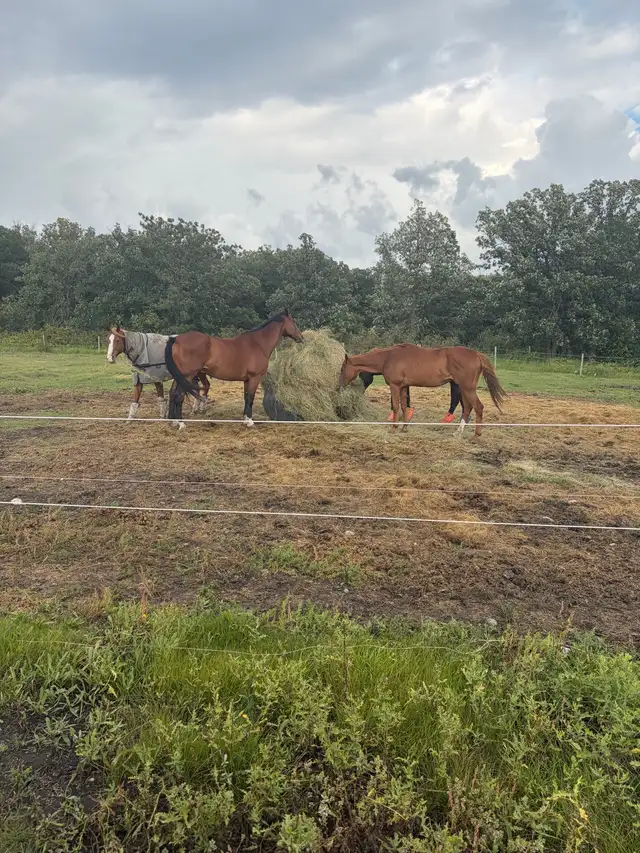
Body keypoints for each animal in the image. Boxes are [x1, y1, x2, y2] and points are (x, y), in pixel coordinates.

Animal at [164, 311, 304, 426]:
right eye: (294, 321)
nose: (301, 337)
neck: (258, 344)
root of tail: (176, 339)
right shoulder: (255, 378)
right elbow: (251, 398)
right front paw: (250, 422)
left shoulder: (247, 379)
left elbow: (246, 397)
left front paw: (245, 419)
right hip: (187, 376)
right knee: (179, 396)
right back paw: (181, 423)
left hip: (179, 376)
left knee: (172, 393)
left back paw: (173, 421)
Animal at [340, 344, 506, 438]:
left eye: (342, 369)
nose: (339, 384)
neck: (388, 358)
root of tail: (476, 354)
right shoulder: (403, 387)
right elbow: (404, 406)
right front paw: (404, 428)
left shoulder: (395, 386)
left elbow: (396, 406)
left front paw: (393, 428)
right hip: (463, 388)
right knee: (468, 408)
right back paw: (457, 433)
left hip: (467, 388)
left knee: (478, 407)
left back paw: (476, 436)